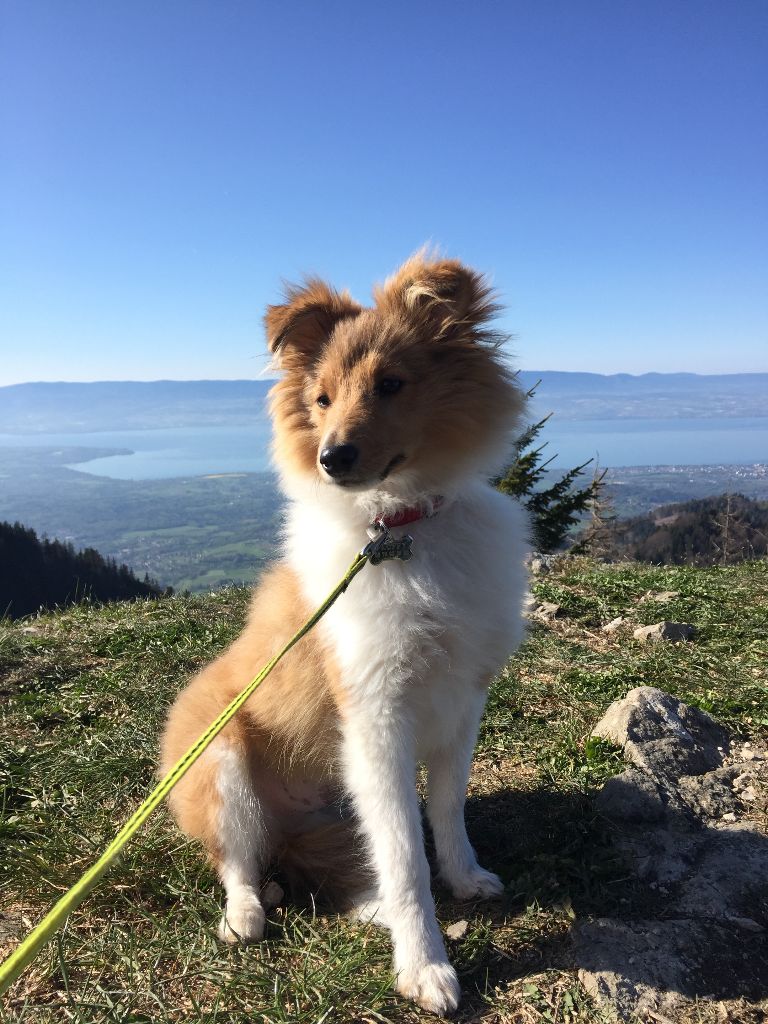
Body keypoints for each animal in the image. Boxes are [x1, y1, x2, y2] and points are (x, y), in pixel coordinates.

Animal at [159, 251, 532, 1011]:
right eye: (322, 398)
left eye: (391, 384)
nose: (333, 458)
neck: (401, 530)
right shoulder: (375, 714)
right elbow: (405, 857)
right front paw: (425, 968)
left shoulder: (463, 700)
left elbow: (445, 810)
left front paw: (465, 877)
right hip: (221, 764)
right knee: (238, 862)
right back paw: (245, 914)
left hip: (333, 812)